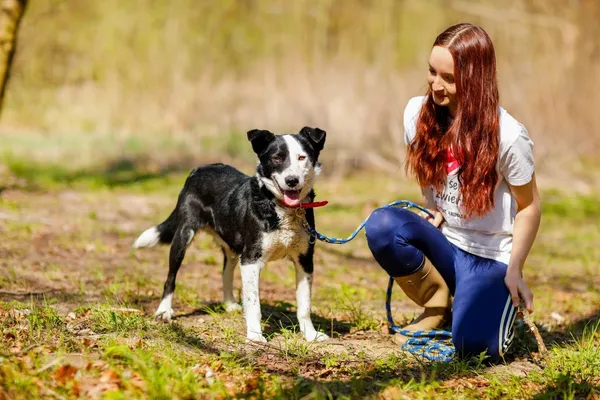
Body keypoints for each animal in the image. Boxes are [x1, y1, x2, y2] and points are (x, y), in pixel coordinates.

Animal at [133, 126, 328, 342]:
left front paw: (310, 335)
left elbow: (304, 304)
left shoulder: (305, 260)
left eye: (302, 157)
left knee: (225, 272)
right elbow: (253, 303)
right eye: (277, 158)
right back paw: (163, 311)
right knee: (170, 278)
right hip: (183, 236)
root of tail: (198, 169)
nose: (292, 181)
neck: (279, 207)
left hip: (233, 247)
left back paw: (229, 304)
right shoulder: (251, 259)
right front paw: (255, 336)